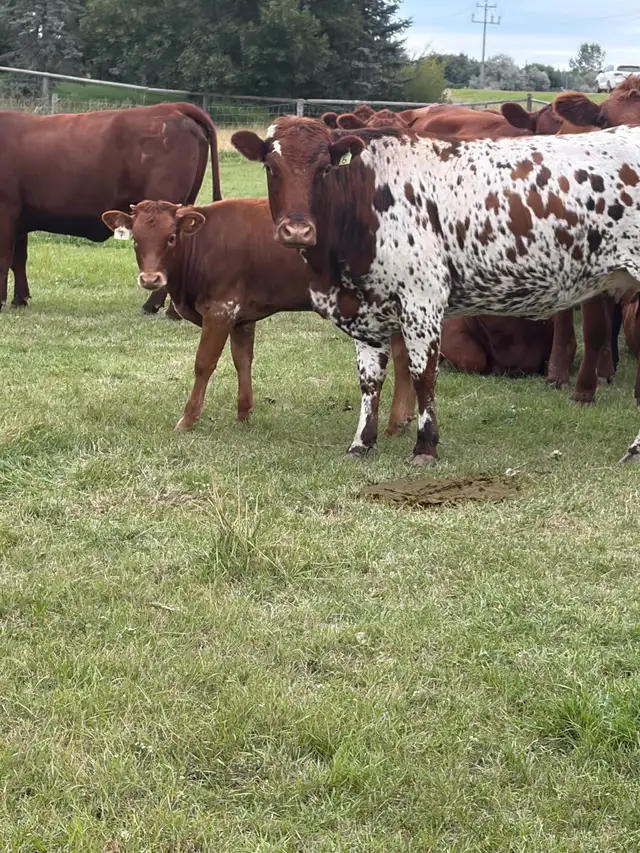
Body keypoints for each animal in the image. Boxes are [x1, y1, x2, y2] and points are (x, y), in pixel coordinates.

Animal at [0, 102, 221, 318]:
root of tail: (174, 106)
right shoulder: (20, 218)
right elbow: (18, 259)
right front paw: (19, 299)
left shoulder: (6, 212)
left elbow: (4, 257)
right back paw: (172, 311)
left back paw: (153, 307)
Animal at [101, 198, 416, 444]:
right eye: (136, 239)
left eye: (171, 237)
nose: (150, 279)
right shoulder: (241, 317)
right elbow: (242, 360)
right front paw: (243, 413)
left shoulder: (220, 310)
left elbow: (204, 364)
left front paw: (187, 419)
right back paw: (402, 421)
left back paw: (394, 423)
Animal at [231, 117, 640, 464]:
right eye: (271, 167)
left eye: (324, 168)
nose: (297, 230)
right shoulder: (364, 311)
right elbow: (369, 381)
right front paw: (361, 443)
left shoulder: (421, 301)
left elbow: (422, 374)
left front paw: (425, 446)